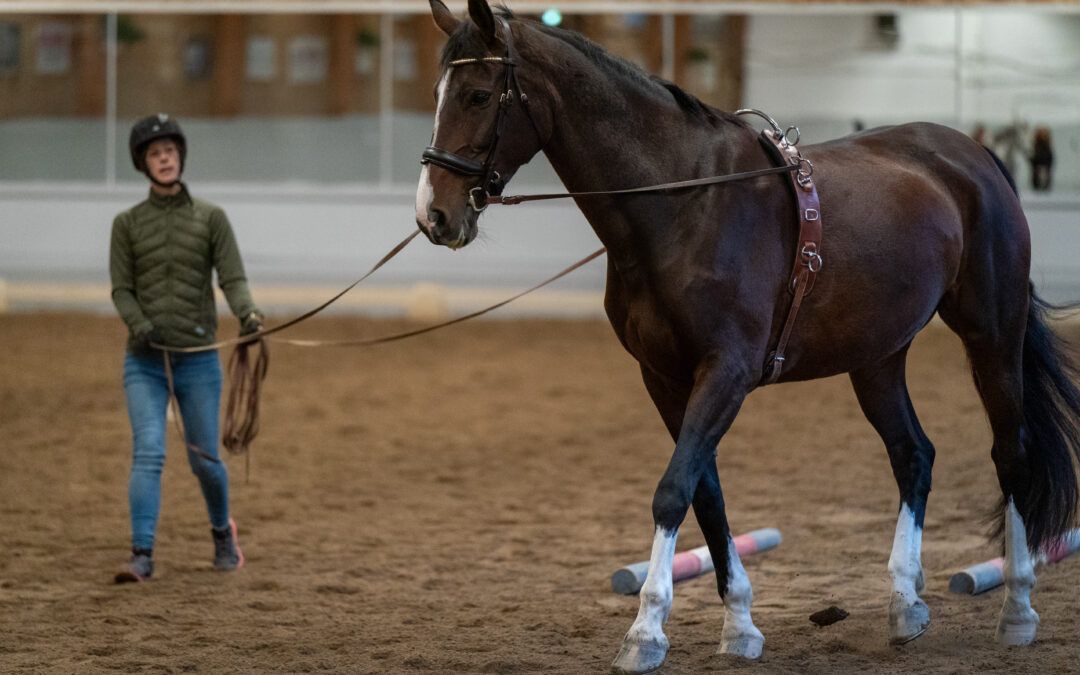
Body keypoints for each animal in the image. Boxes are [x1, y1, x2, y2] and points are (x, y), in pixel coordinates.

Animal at [412, 2, 1080, 669]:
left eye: (478, 94)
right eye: (437, 92)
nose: (433, 216)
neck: (684, 206)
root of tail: (973, 156)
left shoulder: (726, 372)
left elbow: (673, 490)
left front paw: (645, 633)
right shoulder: (664, 378)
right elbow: (705, 494)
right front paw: (738, 626)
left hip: (991, 335)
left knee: (1011, 453)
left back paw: (1017, 607)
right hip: (877, 357)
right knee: (913, 454)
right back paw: (904, 604)